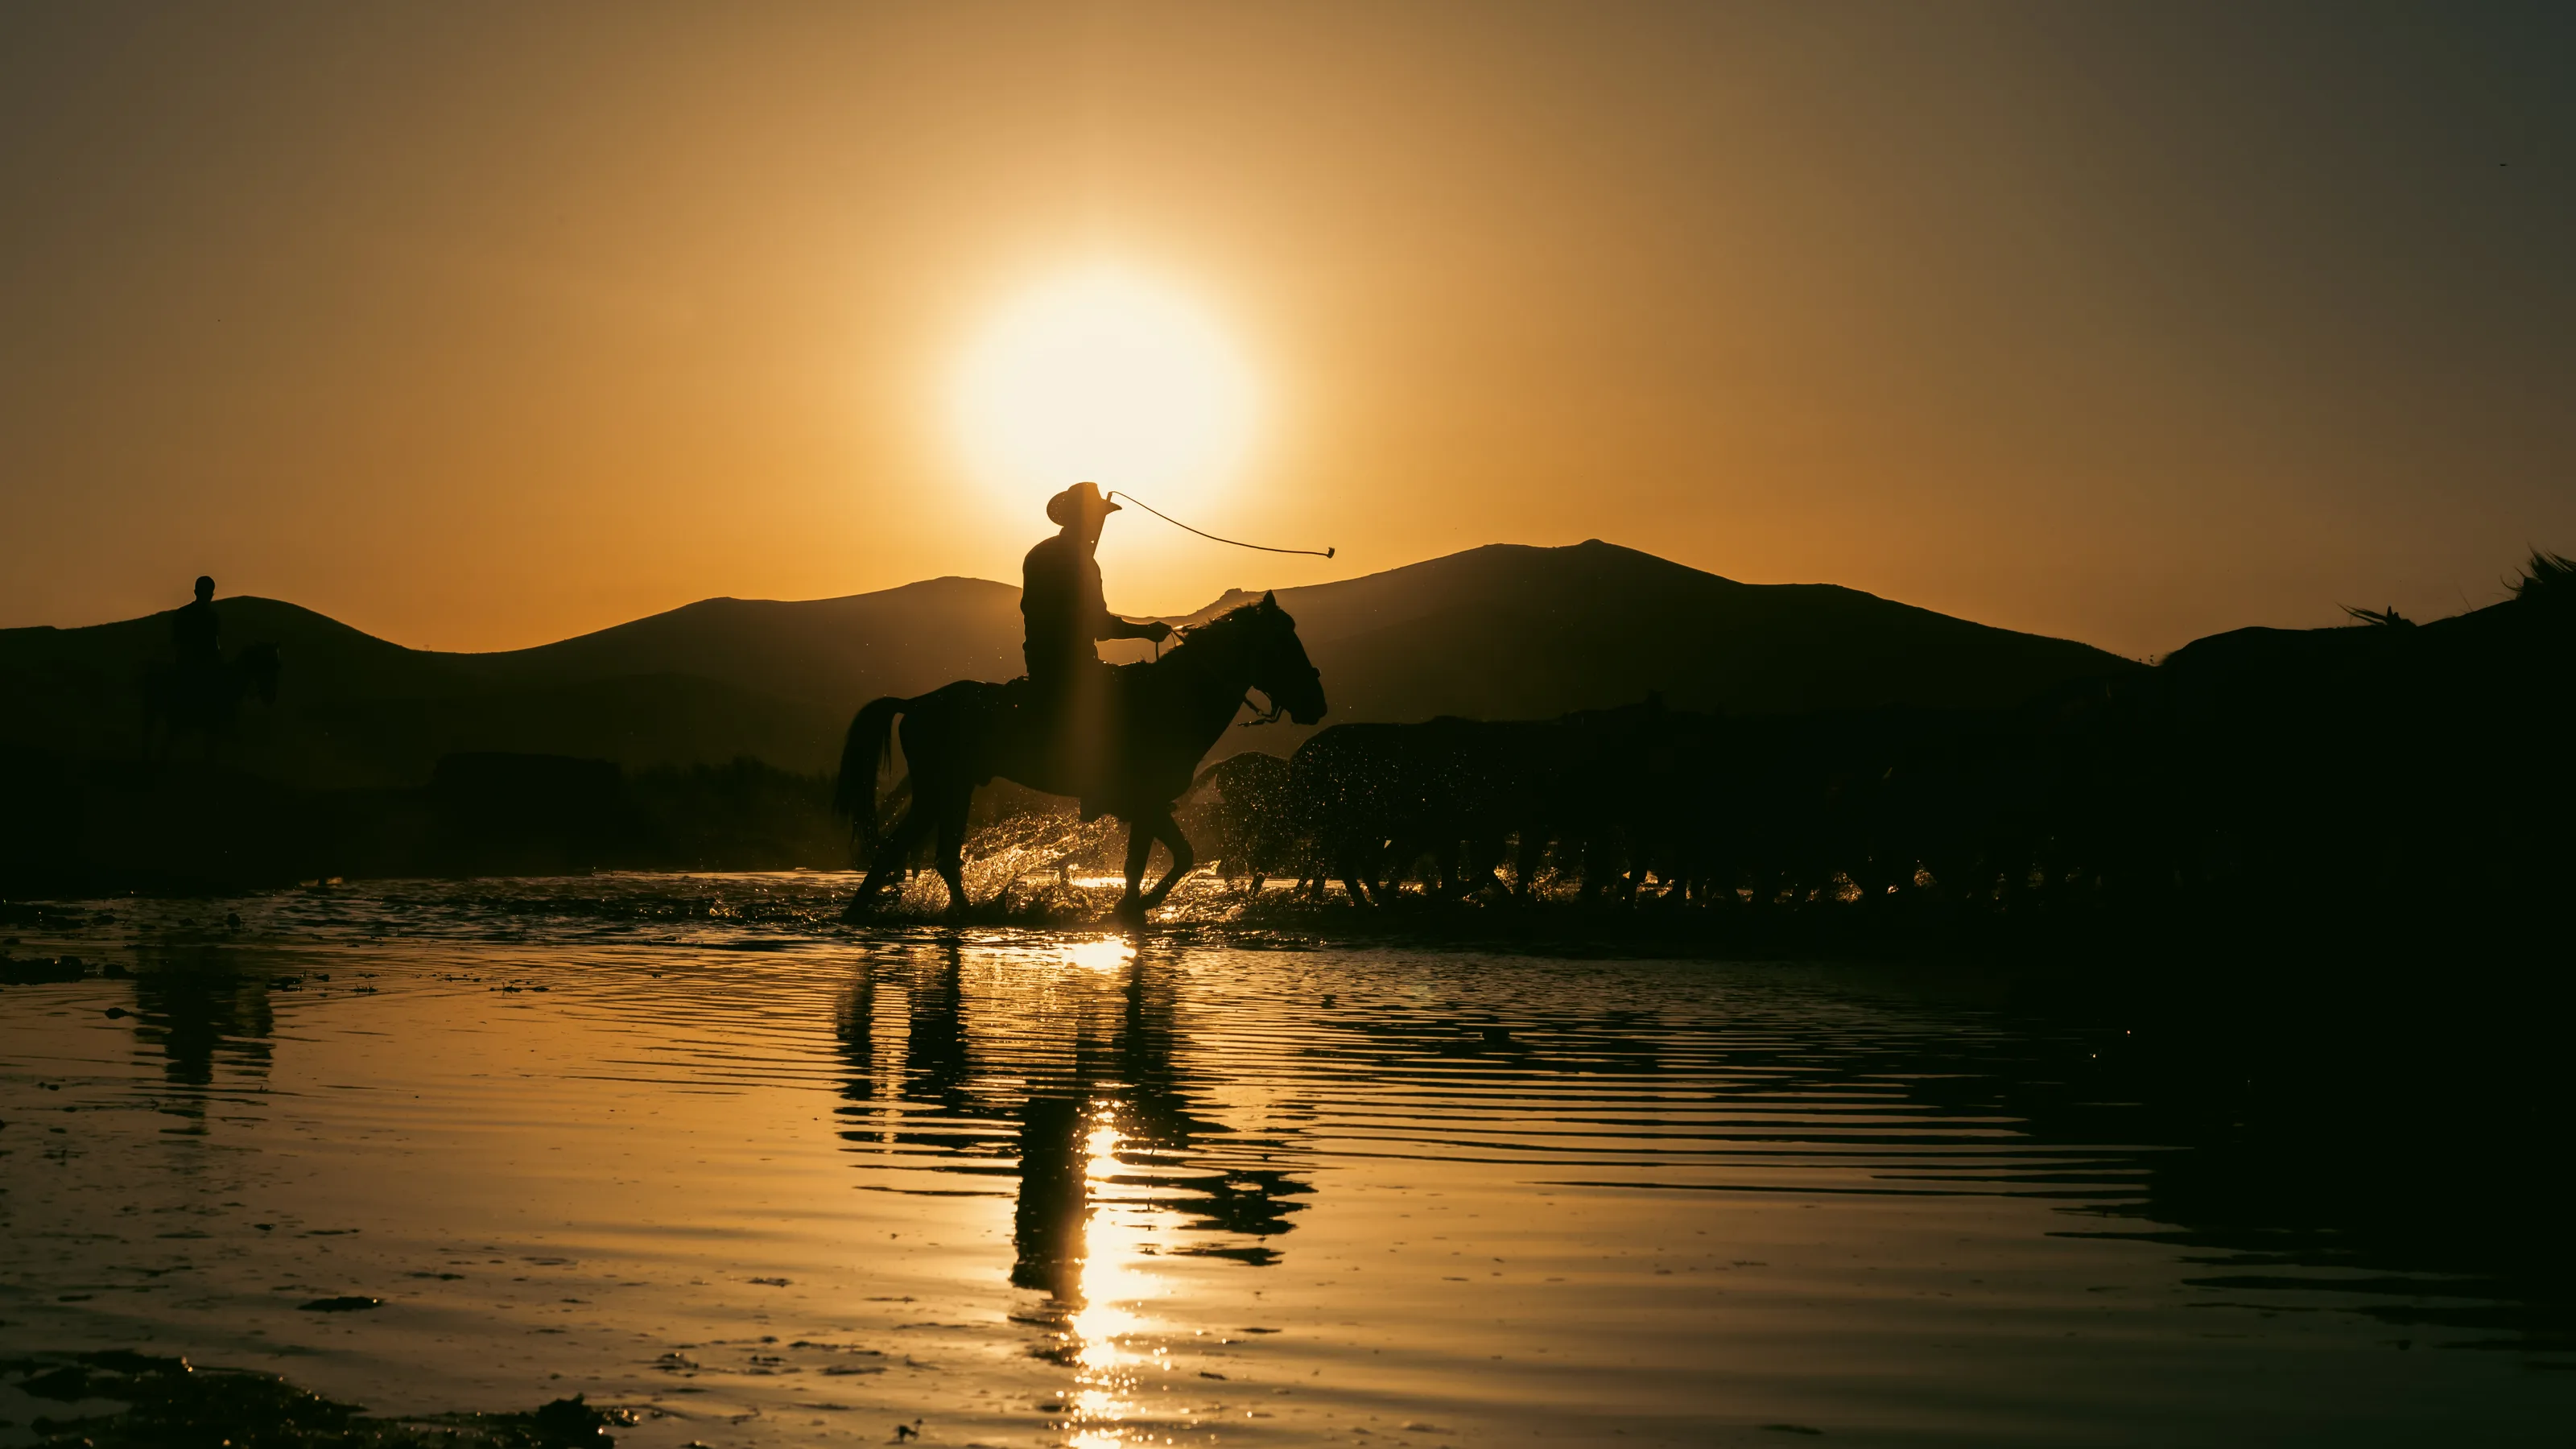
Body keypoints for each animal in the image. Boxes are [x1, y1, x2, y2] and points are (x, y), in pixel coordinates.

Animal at [142, 642, 282, 759]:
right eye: (266, 665)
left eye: (277, 667)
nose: (271, 697)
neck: (229, 684)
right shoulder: (213, 729)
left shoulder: (214, 732)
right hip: (155, 717)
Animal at [833, 592, 1327, 923]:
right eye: (1285, 644)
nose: (1317, 704)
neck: (1171, 698)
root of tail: (916, 703)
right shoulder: (1146, 804)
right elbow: (1150, 863)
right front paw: (1130, 909)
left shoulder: (1151, 806)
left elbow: (1172, 858)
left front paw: (1135, 907)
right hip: (941, 788)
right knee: (909, 852)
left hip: (952, 789)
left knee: (933, 855)